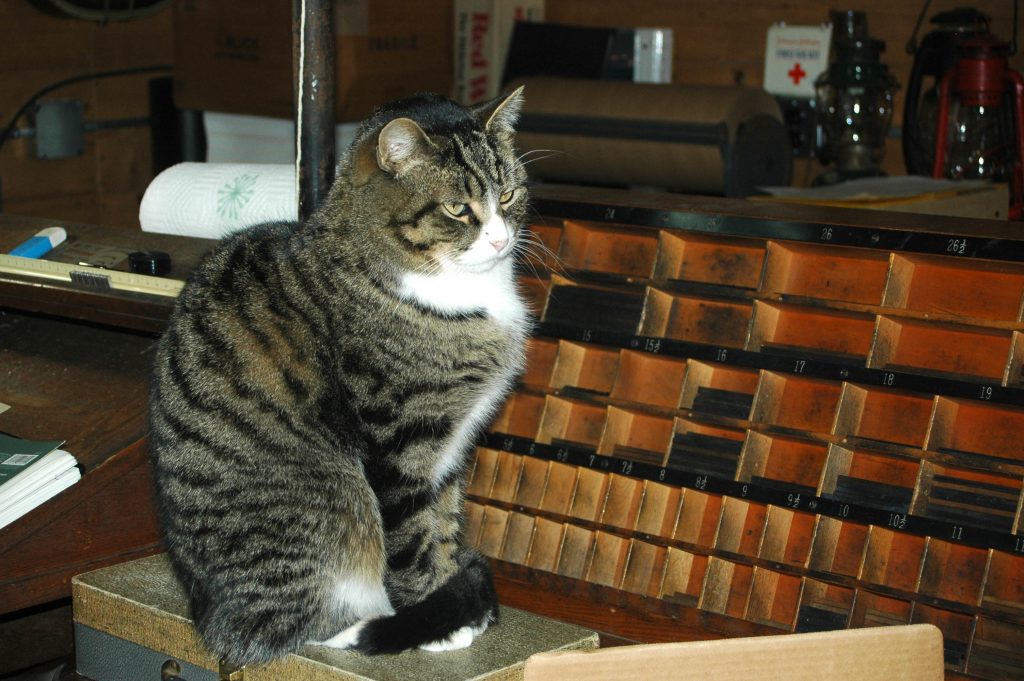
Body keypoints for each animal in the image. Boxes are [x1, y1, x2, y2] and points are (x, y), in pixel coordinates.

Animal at [149, 89, 532, 663]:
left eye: (508, 194)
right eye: (457, 208)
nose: (501, 240)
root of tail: (213, 620)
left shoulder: (446, 454)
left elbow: (442, 522)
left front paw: (453, 595)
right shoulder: (401, 444)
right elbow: (413, 538)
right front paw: (438, 620)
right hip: (328, 510)